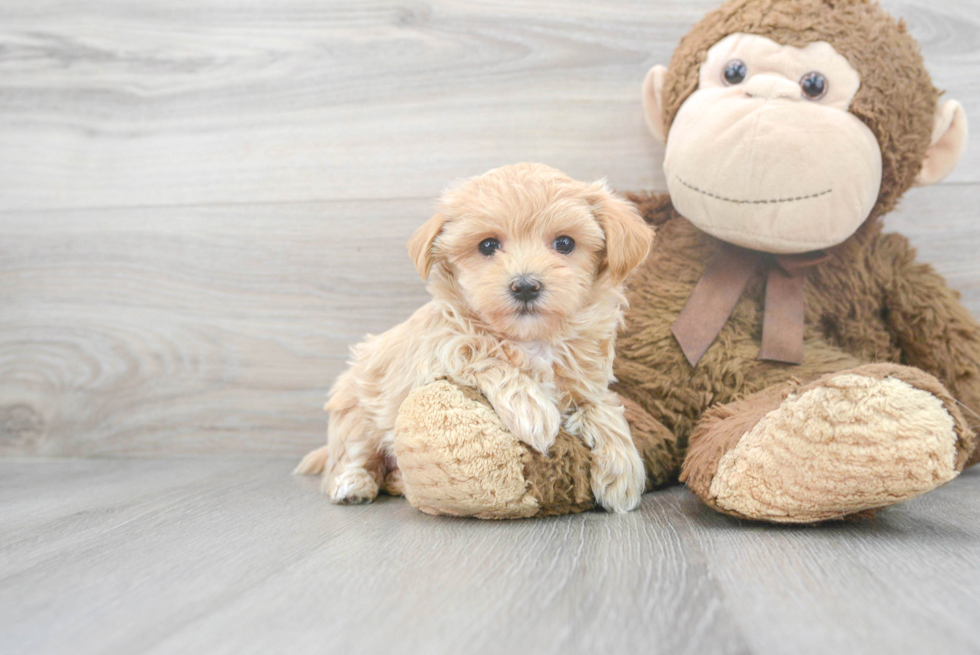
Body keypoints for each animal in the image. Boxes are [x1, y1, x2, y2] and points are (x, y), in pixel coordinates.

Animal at [294, 163, 656, 512]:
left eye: (565, 243)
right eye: (488, 245)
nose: (525, 286)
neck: (533, 339)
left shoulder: (586, 383)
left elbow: (603, 409)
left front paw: (622, 472)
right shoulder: (440, 349)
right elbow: (485, 356)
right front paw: (533, 411)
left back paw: (398, 481)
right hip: (356, 409)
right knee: (353, 456)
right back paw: (353, 485)